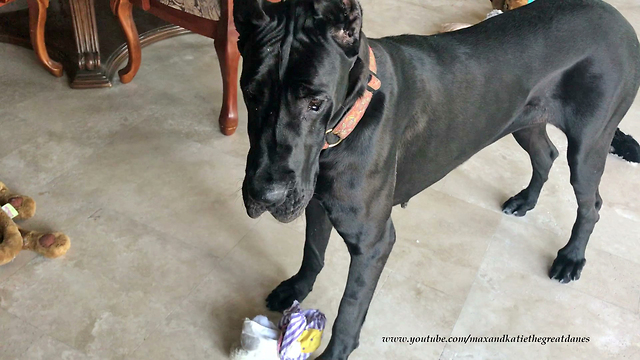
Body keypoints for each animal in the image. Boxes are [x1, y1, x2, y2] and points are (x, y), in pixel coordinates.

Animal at [234, 0, 640, 358]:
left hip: (588, 146)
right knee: (546, 154)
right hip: (523, 120)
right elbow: (313, 252)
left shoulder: (373, 241)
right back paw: (525, 200)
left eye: (315, 103)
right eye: (251, 94)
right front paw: (296, 289)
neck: (348, 122)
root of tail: (617, 18)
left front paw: (335, 353)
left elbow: (349, 310)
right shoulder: (317, 203)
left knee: (592, 203)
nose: (266, 194)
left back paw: (571, 257)